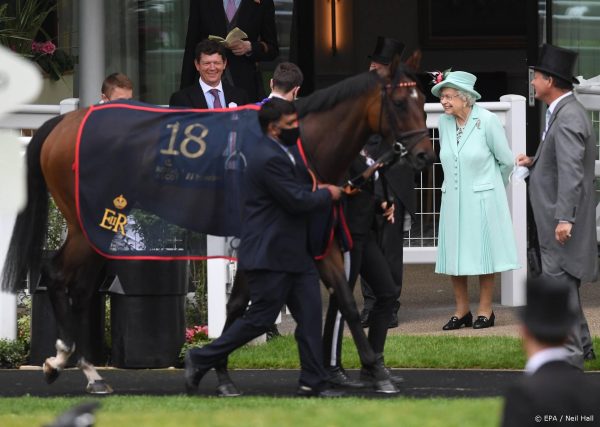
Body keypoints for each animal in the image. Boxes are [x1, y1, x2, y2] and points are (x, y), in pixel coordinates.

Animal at [0, 52, 432, 394]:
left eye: (421, 98)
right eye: (398, 101)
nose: (425, 154)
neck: (298, 145)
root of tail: (63, 124)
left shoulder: (313, 237)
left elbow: (340, 298)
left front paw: (377, 371)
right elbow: (241, 306)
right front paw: (217, 370)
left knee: (80, 285)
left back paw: (79, 366)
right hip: (91, 219)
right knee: (58, 275)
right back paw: (74, 365)